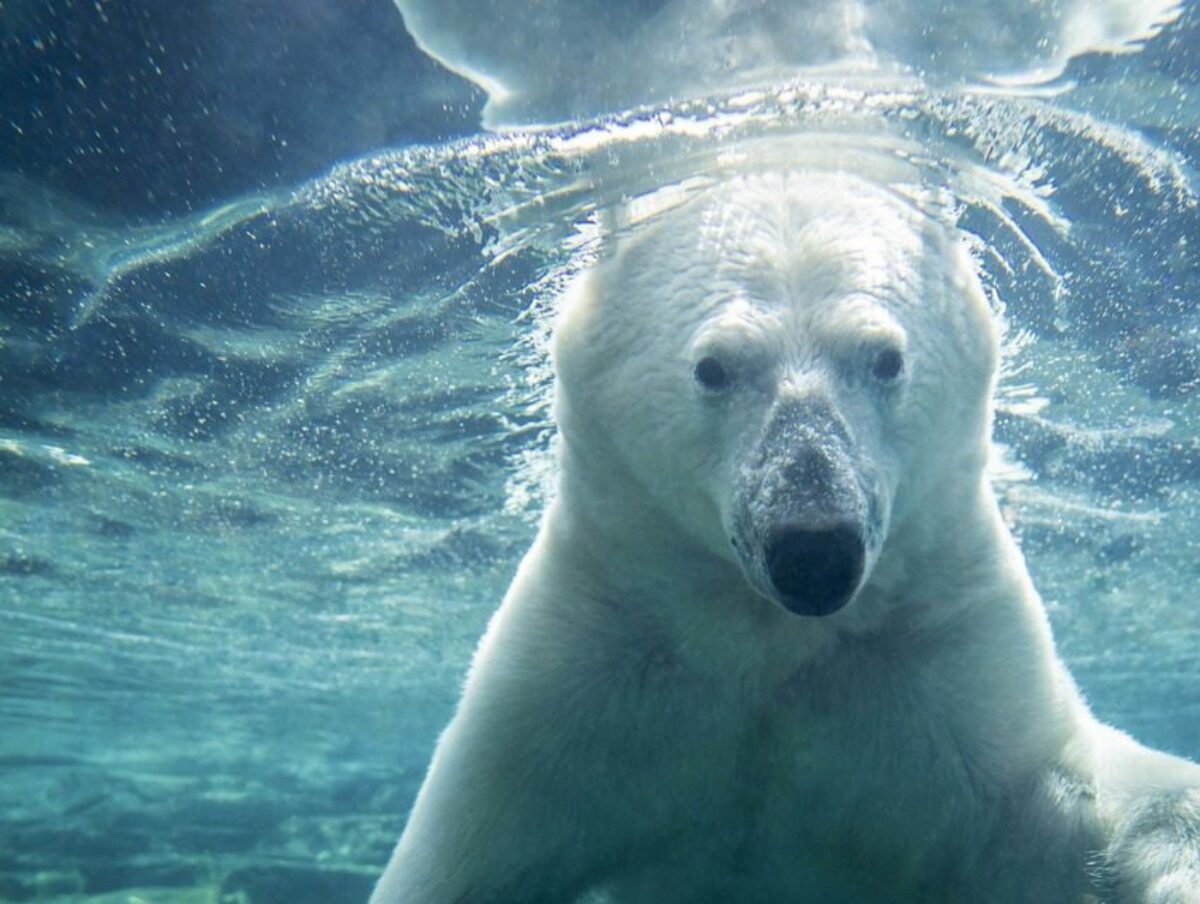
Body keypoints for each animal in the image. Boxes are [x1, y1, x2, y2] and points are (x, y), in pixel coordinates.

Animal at [371, 169, 1200, 903]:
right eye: (713, 367)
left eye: (885, 357)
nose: (814, 549)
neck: (769, 642)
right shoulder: (584, 676)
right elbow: (458, 861)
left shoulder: (944, 661)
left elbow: (1066, 798)